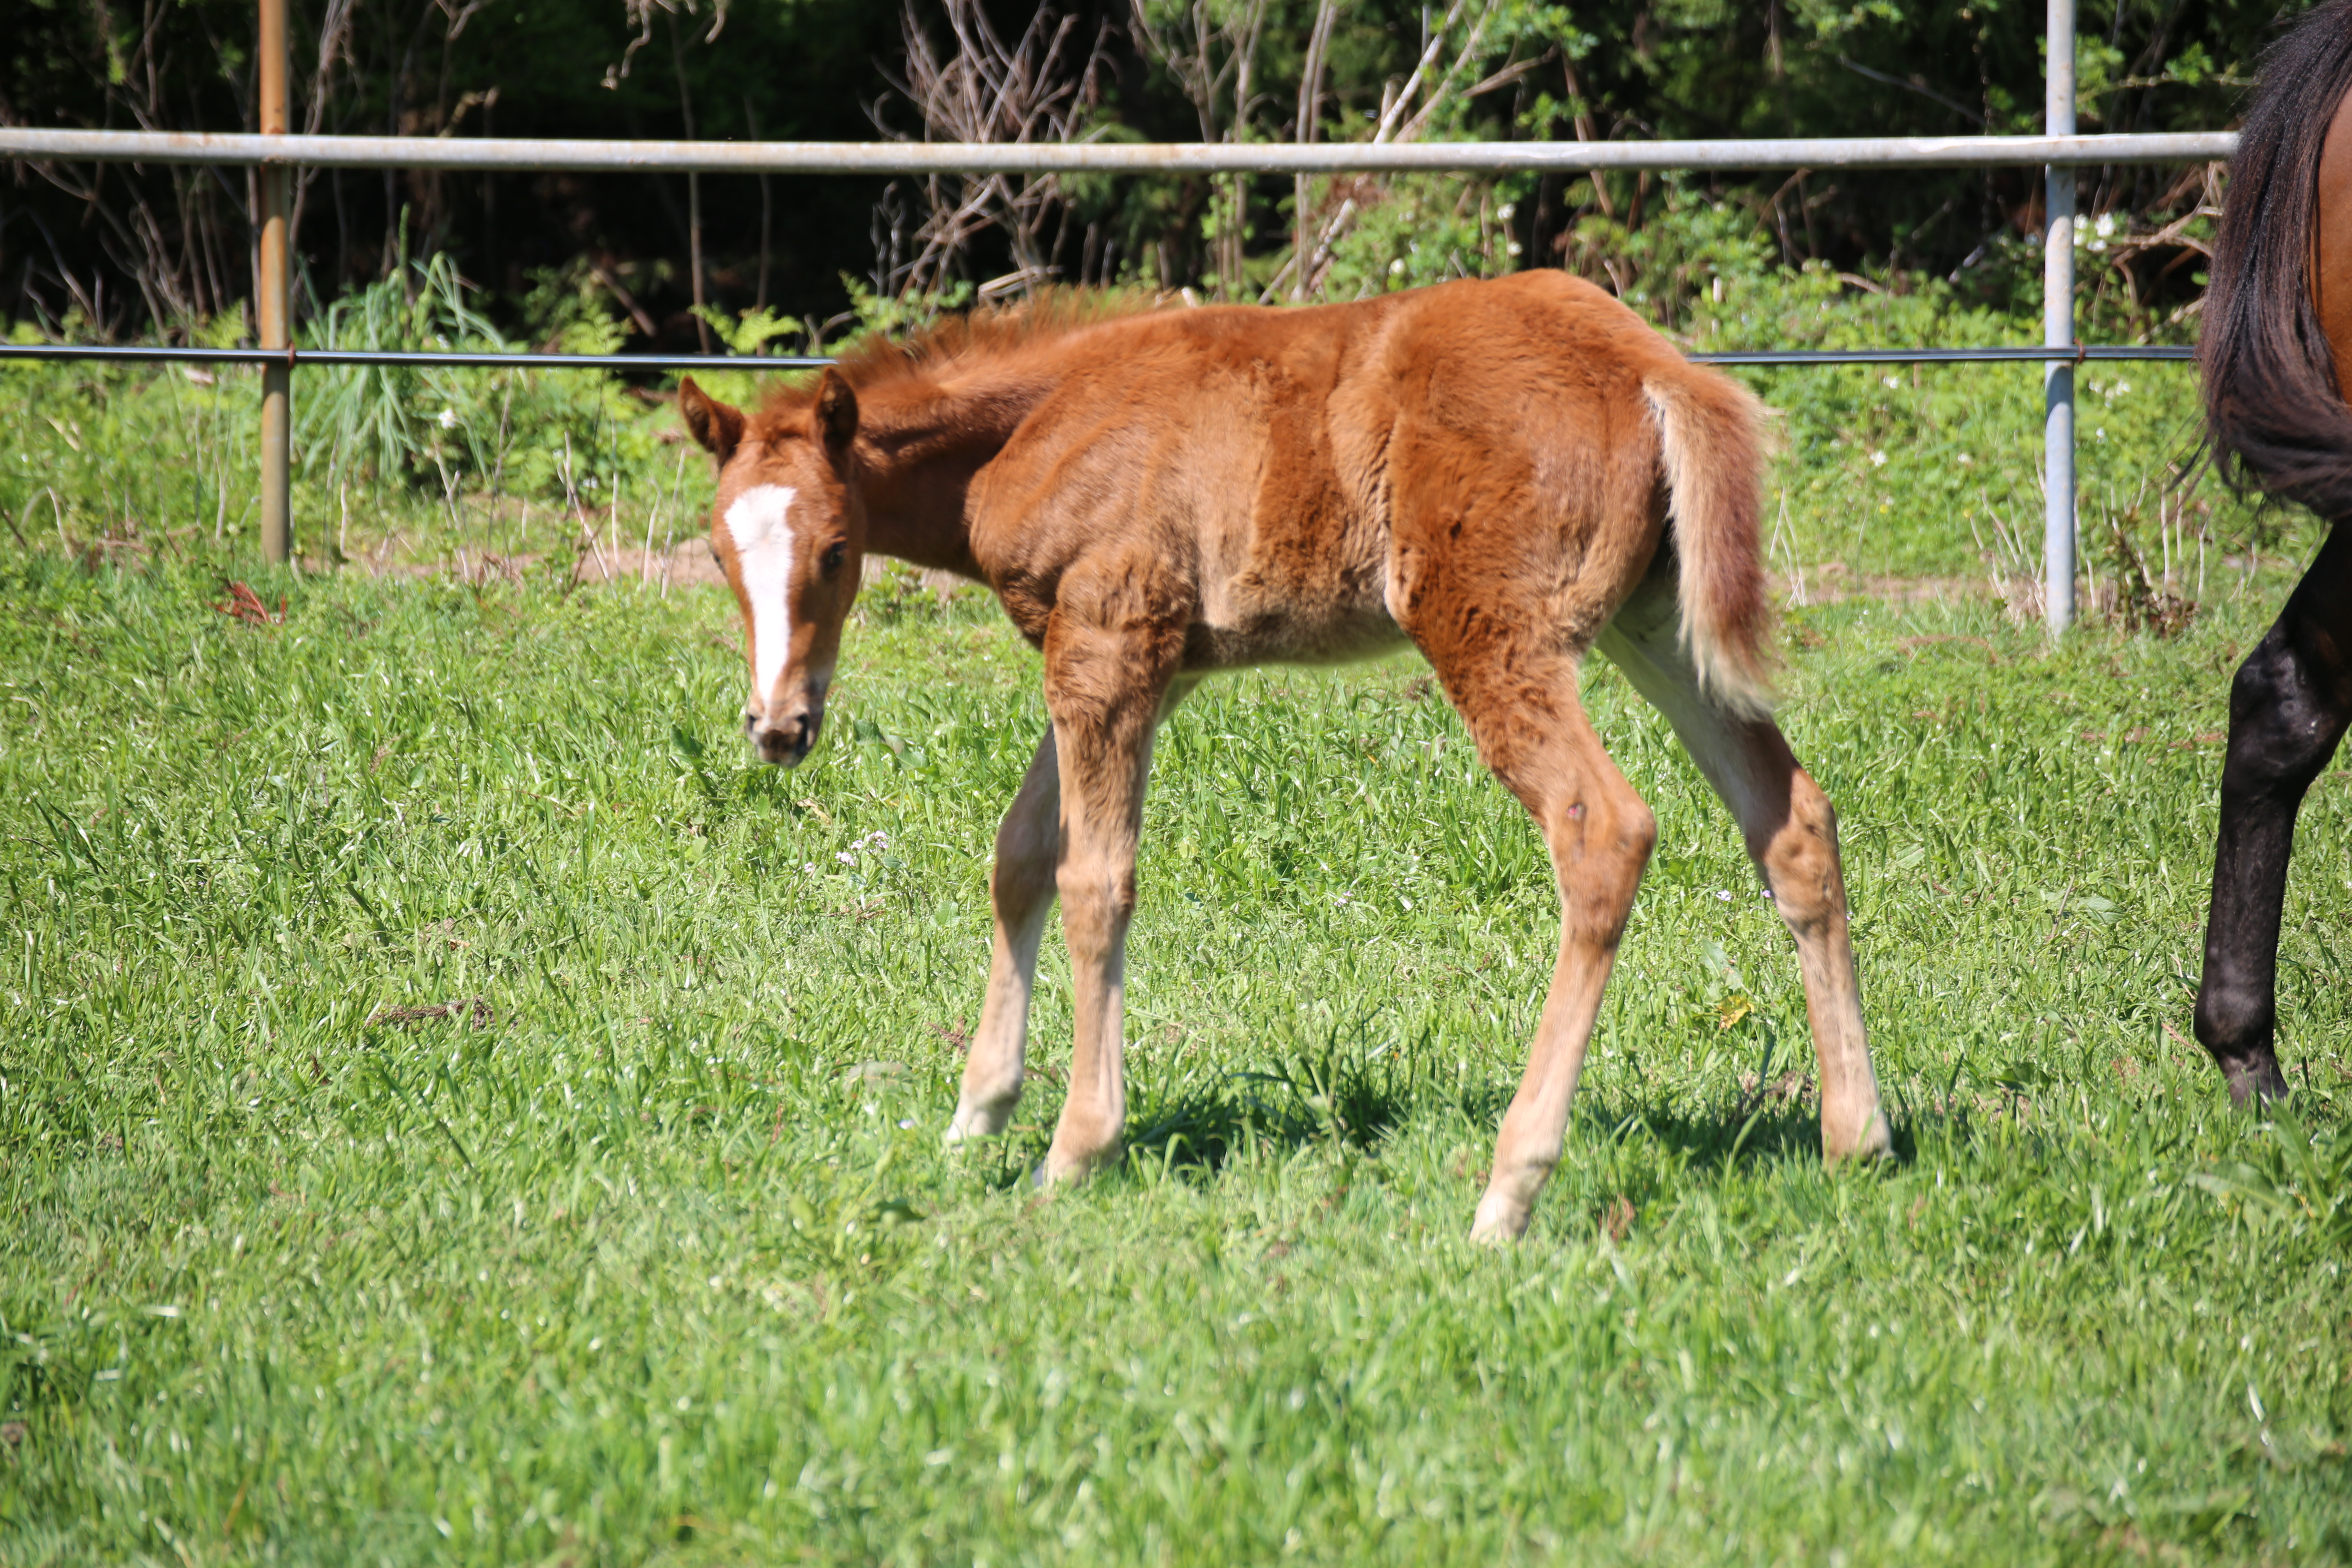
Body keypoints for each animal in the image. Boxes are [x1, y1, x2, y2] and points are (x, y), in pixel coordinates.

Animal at [682, 276, 1891, 1241]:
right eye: (718, 553)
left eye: (836, 551)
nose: (778, 727)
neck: (1041, 423)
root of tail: (1649, 363)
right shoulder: (1138, 663)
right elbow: (1019, 855)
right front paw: (972, 1118)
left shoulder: (1110, 646)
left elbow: (1094, 882)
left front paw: (1076, 1148)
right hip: (1657, 625)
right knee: (1792, 821)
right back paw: (1857, 1139)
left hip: (1489, 626)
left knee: (1603, 830)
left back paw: (1509, 1190)